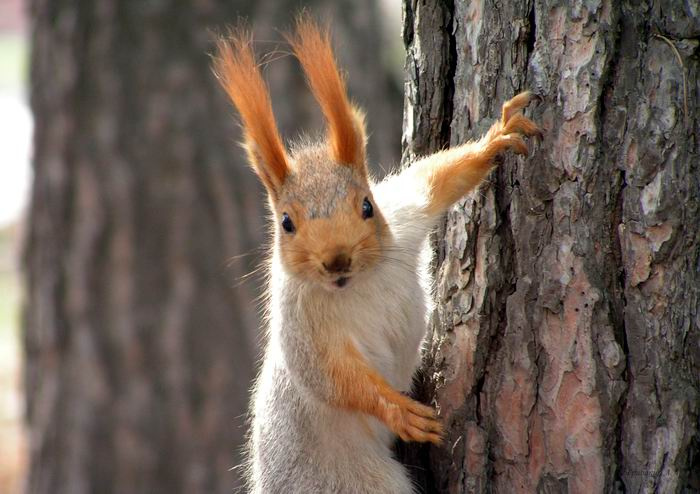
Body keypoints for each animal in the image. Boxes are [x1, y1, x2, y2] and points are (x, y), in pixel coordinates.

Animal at [214, 16, 541, 494]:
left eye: (366, 206)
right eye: (286, 223)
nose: (336, 259)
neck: (359, 282)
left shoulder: (403, 214)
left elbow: (439, 178)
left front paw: (495, 140)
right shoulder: (300, 322)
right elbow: (331, 378)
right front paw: (397, 410)